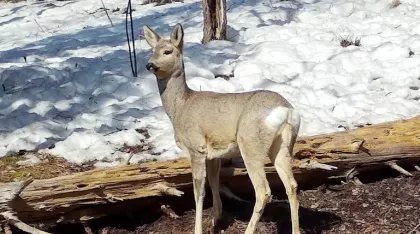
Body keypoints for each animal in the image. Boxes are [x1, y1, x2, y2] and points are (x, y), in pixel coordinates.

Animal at [144, 22, 302, 233]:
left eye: (167, 51)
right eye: (151, 51)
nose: (149, 65)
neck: (181, 107)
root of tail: (286, 111)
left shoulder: (196, 148)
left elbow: (199, 192)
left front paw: (199, 228)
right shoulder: (214, 154)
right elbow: (214, 181)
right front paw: (215, 220)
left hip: (251, 144)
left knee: (263, 190)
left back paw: (248, 230)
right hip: (283, 145)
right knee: (291, 185)